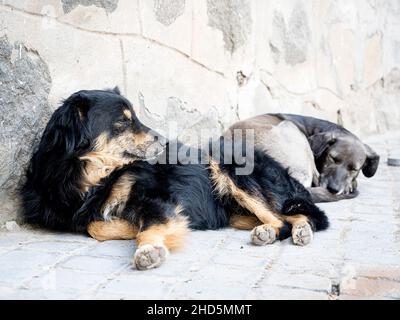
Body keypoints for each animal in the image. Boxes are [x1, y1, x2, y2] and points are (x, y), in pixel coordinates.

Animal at [20, 88, 328, 270]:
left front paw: (148, 246)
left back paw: (296, 230)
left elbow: (135, 227)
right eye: (122, 121)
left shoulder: (156, 198)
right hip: (235, 210)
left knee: (291, 216)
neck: (92, 178)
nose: (162, 139)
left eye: (135, 117)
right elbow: (93, 224)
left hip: (229, 166)